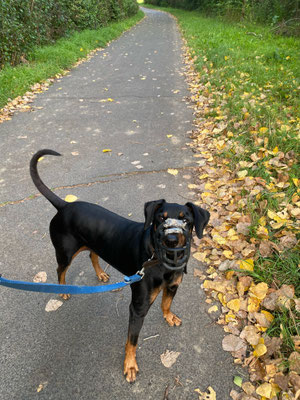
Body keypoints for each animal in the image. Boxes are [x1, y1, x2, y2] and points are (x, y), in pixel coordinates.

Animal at [29, 149, 209, 382]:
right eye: (160, 219)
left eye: (186, 220)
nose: (170, 239)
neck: (161, 261)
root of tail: (65, 205)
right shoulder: (138, 307)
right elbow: (132, 340)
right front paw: (130, 365)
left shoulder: (172, 286)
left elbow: (166, 303)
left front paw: (169, 316)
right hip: (66, 253)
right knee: (60, 269)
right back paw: (63, 289)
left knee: (93, 256)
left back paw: (101, 275)